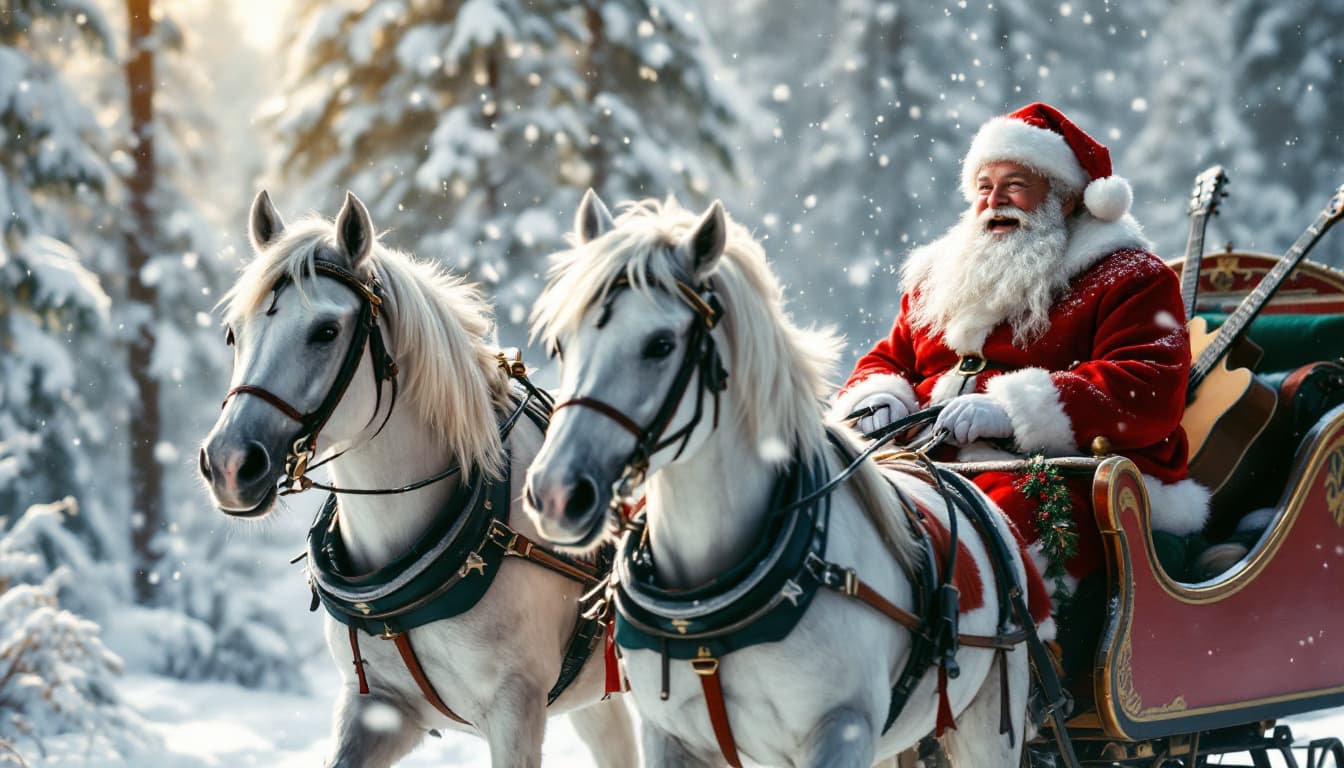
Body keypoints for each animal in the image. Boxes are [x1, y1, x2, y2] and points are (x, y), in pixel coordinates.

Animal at [523, 191, 1043, 767]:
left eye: (660, 344)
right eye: (560, 344)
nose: (556, 493)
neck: (705, 610)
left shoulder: (842, 730)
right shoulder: (669, 737)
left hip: (988, 720)